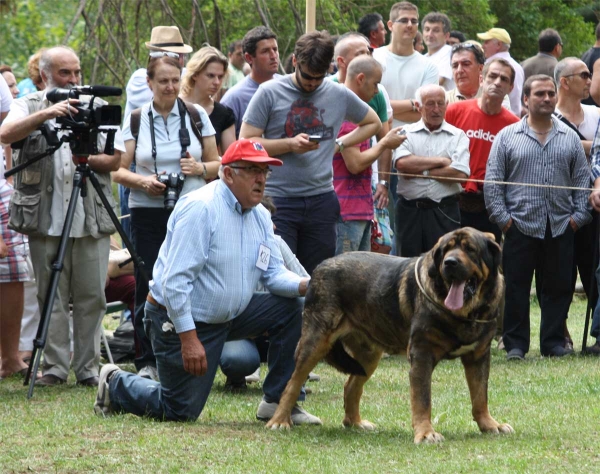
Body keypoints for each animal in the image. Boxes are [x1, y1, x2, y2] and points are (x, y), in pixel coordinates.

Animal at [268, 228, 516, 442]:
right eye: (446, 250)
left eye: (470, 249)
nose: (450, 262)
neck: (465, 314)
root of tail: (319, 267)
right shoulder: (422, 355)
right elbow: (422, 398)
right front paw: (425, 433)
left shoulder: (478, 356)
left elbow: (480, 395)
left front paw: (490, 425)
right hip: (315, 341)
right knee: (292, 383)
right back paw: (279, 421)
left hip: (367, 356)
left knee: (351, 386)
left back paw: (355, 423)